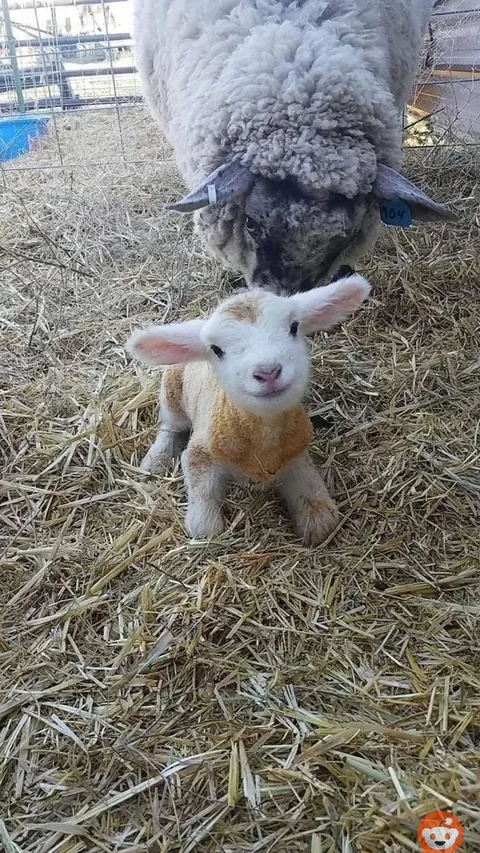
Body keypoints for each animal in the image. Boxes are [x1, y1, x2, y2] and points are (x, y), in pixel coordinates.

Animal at [127, 273, 371, 545]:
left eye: (294, 327)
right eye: (216, 349)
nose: (268, 372)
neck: (264, 437)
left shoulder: (296, 455)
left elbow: (321, 515)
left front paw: (315, 521)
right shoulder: (201, 454)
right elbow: (204, 526)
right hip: (172, 390)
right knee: (170, 426)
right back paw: (155, 460)